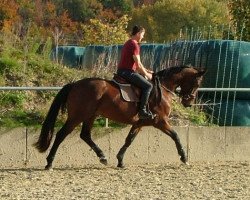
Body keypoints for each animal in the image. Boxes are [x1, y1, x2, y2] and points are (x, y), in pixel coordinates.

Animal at [34, 65, 207, 170]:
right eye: (197, 83)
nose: (188, 103)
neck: (162, 89)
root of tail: (75, 84)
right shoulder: (161, 121)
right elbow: (176, 136)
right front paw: (184, 157)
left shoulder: (139, 123)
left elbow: (129, 140)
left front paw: (120, 160)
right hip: (77, 116)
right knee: (61, 135)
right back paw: (49, 162)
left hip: (90, 115)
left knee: (85, 135)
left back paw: (103, 157)